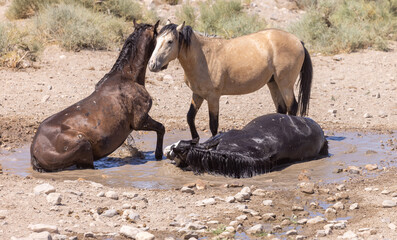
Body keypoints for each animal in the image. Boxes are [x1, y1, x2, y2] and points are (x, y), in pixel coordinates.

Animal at [30, 20, 164, 171]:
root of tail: (34, 150)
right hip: (83, 145)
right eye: (157, 35)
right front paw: (159, 155)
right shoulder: (141, 121)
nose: (157, 64)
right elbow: (161, 128)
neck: (128, 77)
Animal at [147, 21, 310, 142]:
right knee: (281, 109)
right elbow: (190, 117)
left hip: (285, 84)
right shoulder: (197, 94)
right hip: (273, 83)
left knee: (292, 107)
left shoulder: (213, 97)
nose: (152, 65)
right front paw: (194, 140)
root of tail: (299, 41)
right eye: (157, 40)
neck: (203, 57)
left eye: (170, 41)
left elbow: (213, 125)